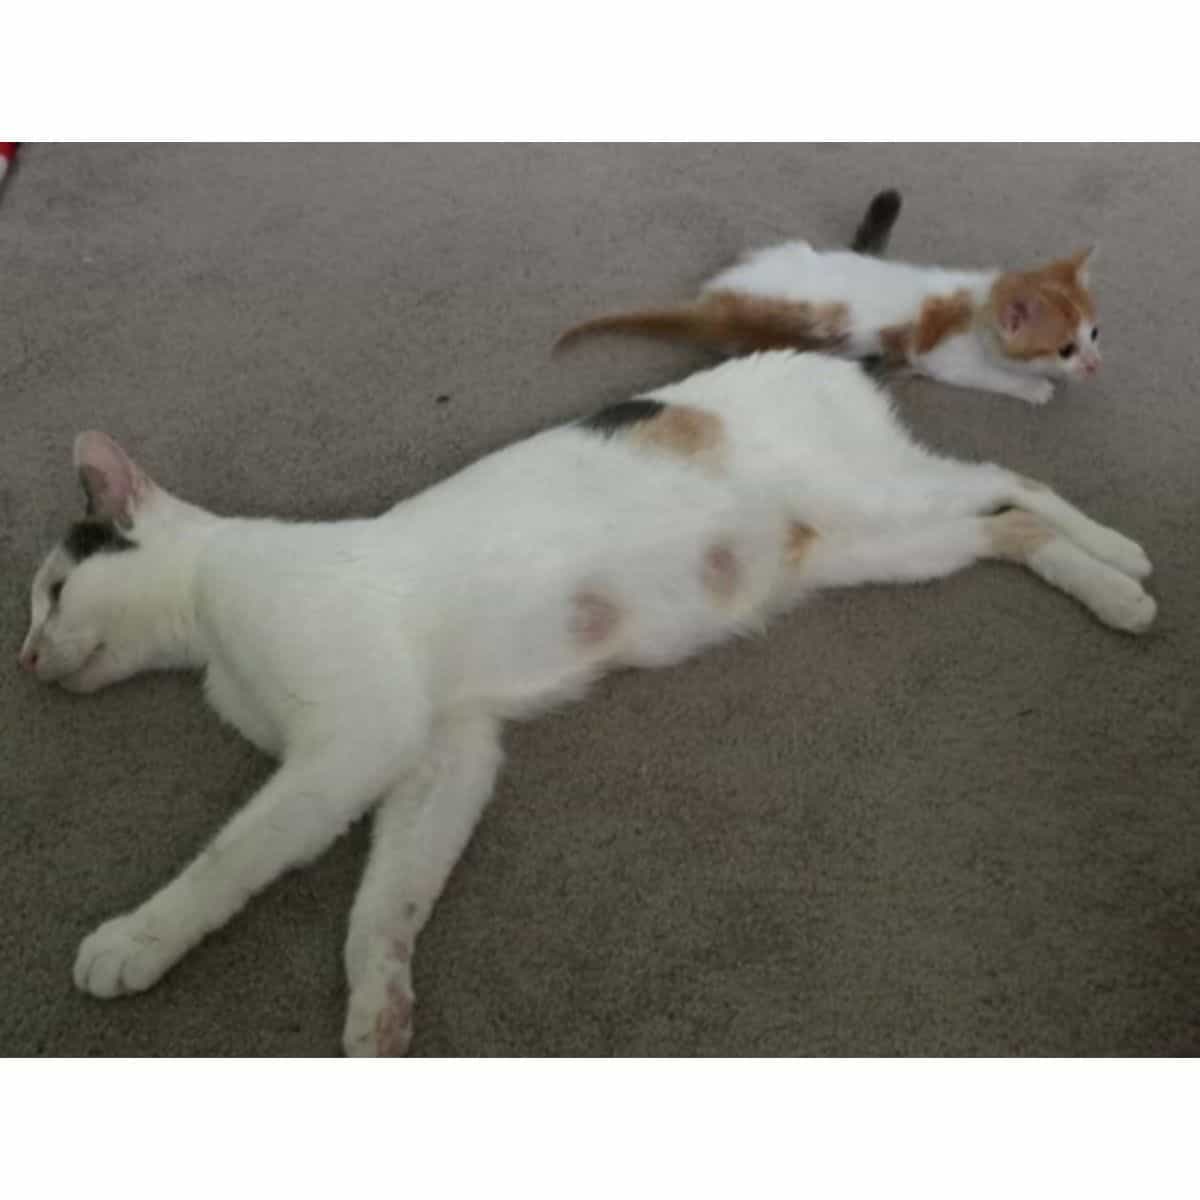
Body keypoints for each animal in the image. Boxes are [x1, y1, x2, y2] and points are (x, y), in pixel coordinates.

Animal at [21, 350, 1152, 1056]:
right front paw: (380, 1007)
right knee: (1004, 530)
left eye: (52, 592)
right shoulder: (445, 750)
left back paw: (1127, 558)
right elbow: (388, 901)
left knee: (1011, 478)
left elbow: (232, 856)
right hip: (874, 548)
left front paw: (135, 939)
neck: (209, 619)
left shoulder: (355, 739)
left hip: (876, 497)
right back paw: (1109, 591)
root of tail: (825, 354)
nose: (27, 658)